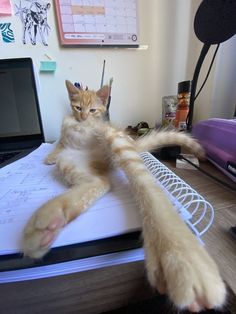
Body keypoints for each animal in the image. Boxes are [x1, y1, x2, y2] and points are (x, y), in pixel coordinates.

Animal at [23, 80, 226, 312]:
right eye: (78, 108)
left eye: (93, 110)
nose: (83, 119)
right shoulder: (66, 136)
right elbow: (59, 142)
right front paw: (50, 154)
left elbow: (59, 141)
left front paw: (50, 153)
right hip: (72, 161)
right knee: (100, 183)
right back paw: (49, 222)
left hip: (114, 139)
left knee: (143, 183)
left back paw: (180, 255)